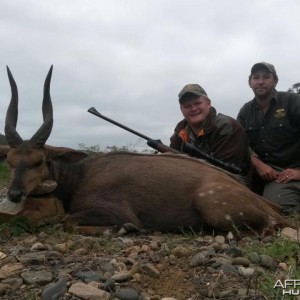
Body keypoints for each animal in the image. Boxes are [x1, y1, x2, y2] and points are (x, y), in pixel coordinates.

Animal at [0, 65, 290, 234]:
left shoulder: (114, 211)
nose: (14, 194)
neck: (80, 175)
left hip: (214, 207)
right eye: (10, 161)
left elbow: (69, 222)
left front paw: (126, 230)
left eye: (39, 161)